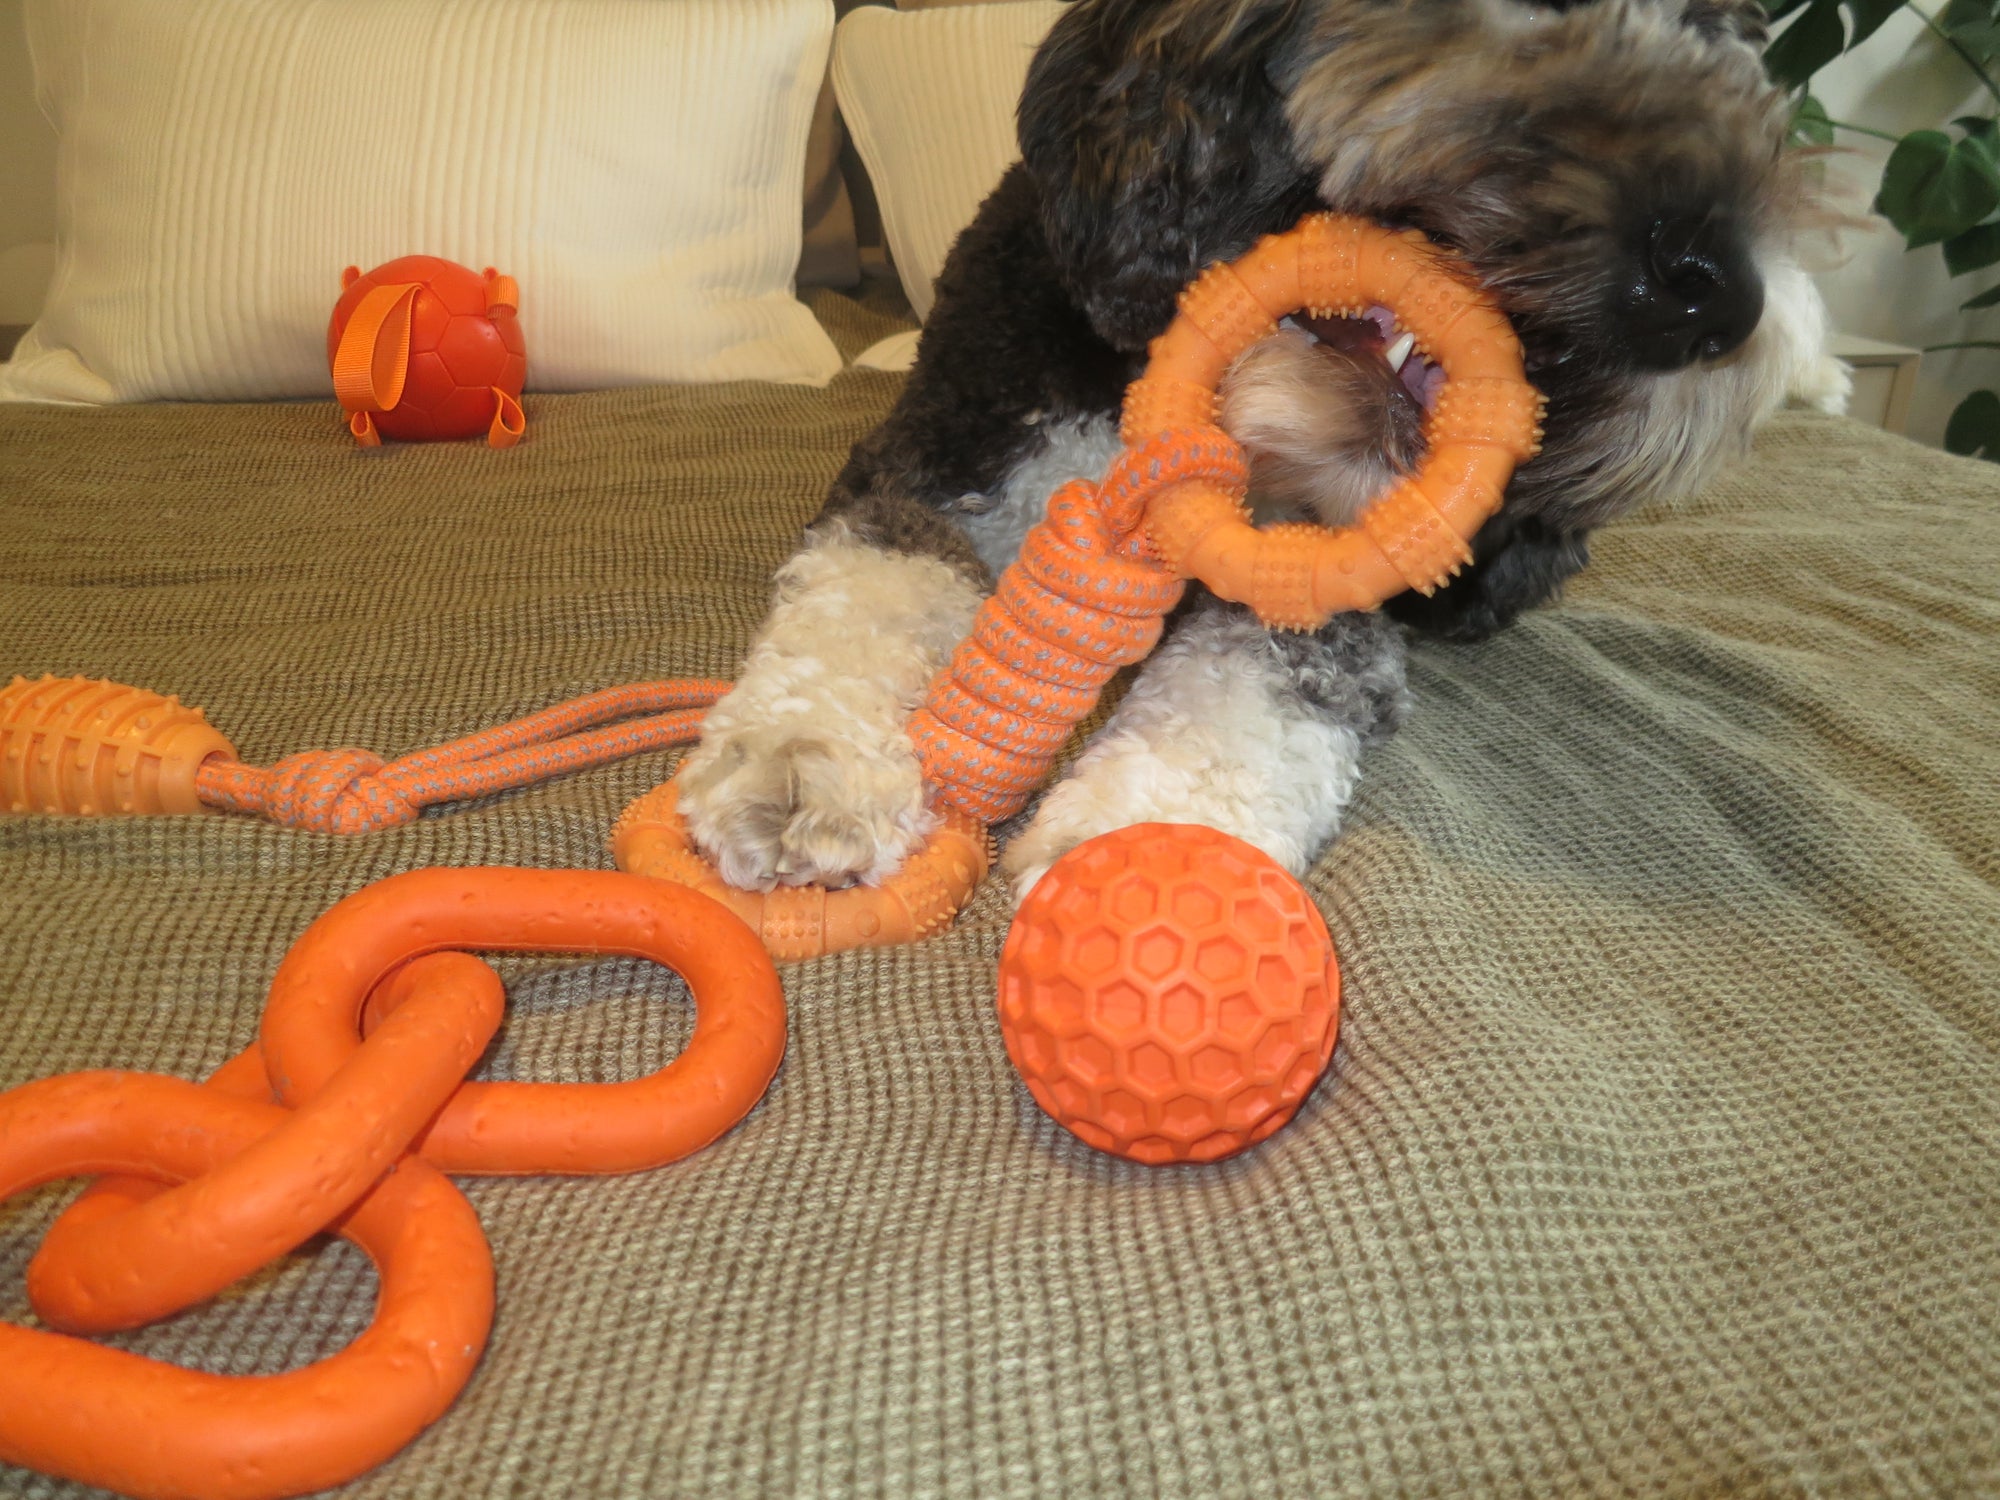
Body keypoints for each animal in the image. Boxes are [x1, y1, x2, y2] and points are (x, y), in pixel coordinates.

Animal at [672, 0, 1840, 904]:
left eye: (1748, 43)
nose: (1716, 296)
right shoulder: (938, 463)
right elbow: (873, 588)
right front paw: (805, 763)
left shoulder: (1325, 586)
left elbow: (1251, 692)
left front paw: (1153, 865)